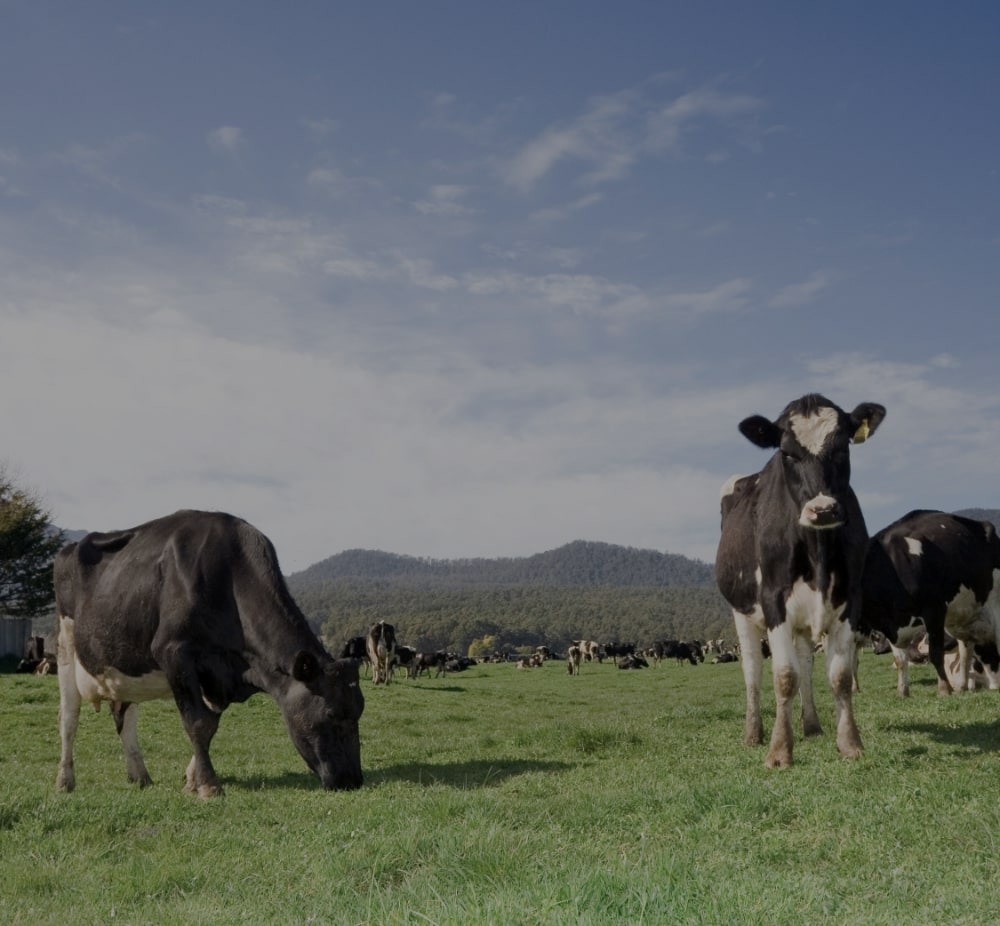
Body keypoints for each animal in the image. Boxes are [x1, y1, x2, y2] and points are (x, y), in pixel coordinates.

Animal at [52, 508, 366, 796]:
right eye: (331, 714)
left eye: (359, 711)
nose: (352, 780)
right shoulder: (174, 653)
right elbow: (198, 723)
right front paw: (208, 785)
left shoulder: (218, 676)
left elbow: (211, 724)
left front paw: (192, 779)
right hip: (66, 646)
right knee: (68, 718)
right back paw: (65, 780)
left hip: (123, 664)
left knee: (124, 718)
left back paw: (140, 775)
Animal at [716, 396, 888, 764]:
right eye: (787, 453)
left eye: (842, 447)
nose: (822, 510)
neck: (817, 550)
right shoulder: (773, 600)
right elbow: (784, 676)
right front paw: (779, 750)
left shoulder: (849, 599)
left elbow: (838, 676)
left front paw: (849, 742)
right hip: (741, 611)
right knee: (753, 670)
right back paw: (753, 733)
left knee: (806, 664)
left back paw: (811, 725)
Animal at [860, 512, 1000, 700]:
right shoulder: (892, 627)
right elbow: (900, 660)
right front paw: (902, 691)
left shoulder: (934, 610)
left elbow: (935, 654)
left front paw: (944, 689)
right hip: (962, 619)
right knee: (966, 652)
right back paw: (963, 686)